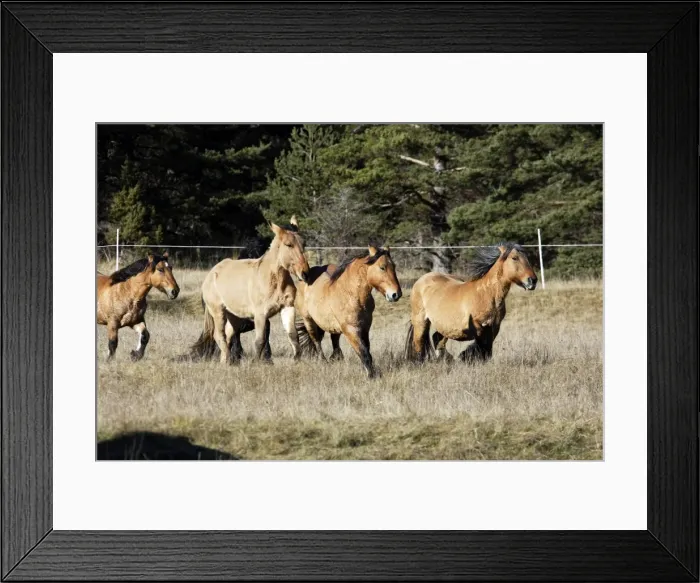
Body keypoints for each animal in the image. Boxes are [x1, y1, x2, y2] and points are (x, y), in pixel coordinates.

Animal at [191, 216, 310, 364]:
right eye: (288, 245)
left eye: (304, 244)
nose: (305, 273)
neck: (274, 280)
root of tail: (211, 273)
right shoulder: (260, 314)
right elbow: (260, 340)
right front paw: (257, 362)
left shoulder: (287, 307)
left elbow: (293, 335)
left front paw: (296, 360)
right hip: (218, 312)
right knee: (219, 336)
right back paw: (227, 360)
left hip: (233, 316)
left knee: (229, 335)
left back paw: (228, 362)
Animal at [295, 246, 402, 378]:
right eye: (382, 267)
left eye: (394, 266)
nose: (396, 294)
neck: (351, 294)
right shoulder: (351, 330)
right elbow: (364, 353)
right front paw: (371, 376)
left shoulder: (365, 329)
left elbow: (367, 351)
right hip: (308, 320)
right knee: (316, 341)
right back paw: (323, 362)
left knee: (334, 340)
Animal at [404, 242, 537, 363]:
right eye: (514, 258)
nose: (533, 281)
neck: (486, 294)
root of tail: (421, 280)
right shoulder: (477, 326)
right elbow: (481, 345)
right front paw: (466, 356)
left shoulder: (495, 326)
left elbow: (487, 348)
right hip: (420, 322)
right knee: (419, 343)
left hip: (445, 326)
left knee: (437, 338)